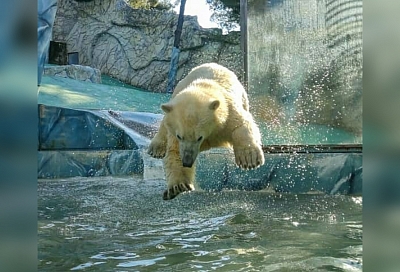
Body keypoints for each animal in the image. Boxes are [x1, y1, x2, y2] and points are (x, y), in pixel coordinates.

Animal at [148, 63, 264, 200]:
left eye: (199, 137)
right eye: (180, 136)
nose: (187, 161)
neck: (202, 87)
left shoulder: (228, 112)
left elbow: (241, 125)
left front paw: (249, 160)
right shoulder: (175, 134)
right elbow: (174, 151)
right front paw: (178, 187)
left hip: (243, 97)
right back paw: (156, 148)